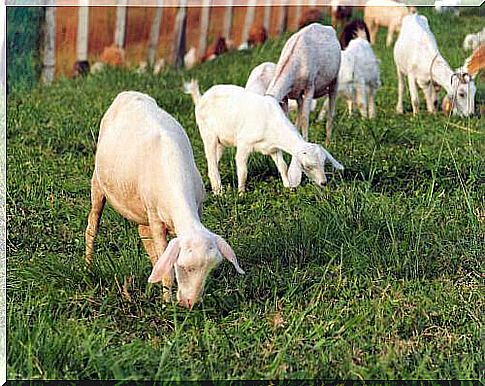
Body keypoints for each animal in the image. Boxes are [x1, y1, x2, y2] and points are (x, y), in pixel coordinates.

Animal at [85, 89, 244, 308]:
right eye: (183, 266)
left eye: (210, 269)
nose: (189, 303)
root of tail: (128, 93)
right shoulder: (155, 217)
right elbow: (165, 265)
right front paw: (166, 303)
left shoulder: (197, 207)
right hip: (98, 183)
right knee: (92, 225)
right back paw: (88, 267)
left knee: (143, 234)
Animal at [183, 81, 342, 191]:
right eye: (308, 166)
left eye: (324, 163)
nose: (323, 182)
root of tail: (202, 98)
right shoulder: (244, 144)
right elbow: (243, 170)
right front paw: (241, 193)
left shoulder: (273, 147)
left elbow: (283, 166)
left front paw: (288, 187)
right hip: (208, 134)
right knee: (211, 162)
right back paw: (219, 191)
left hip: (221, 141)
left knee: (214, 161)